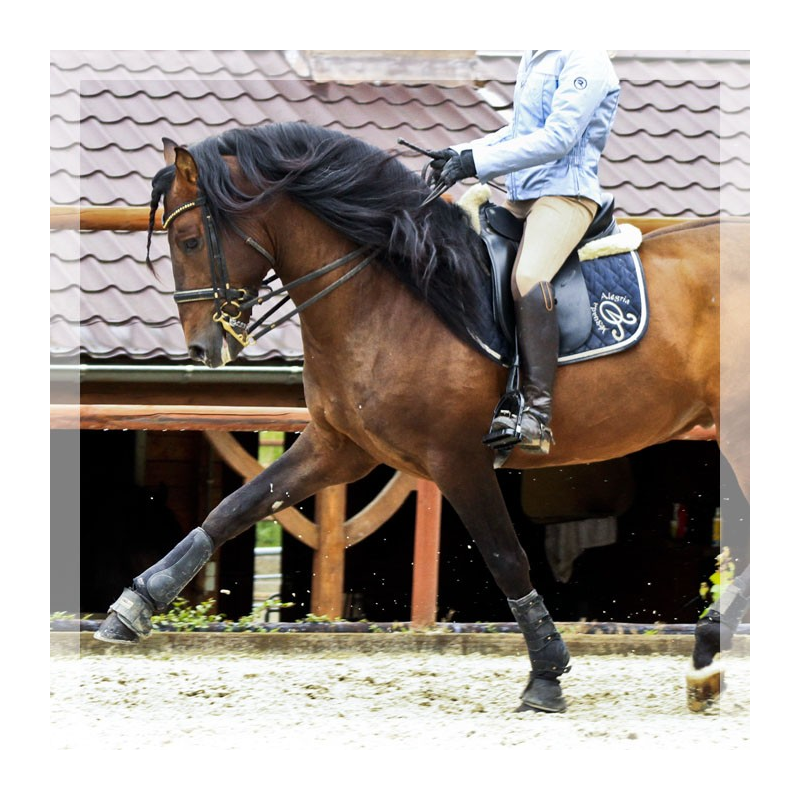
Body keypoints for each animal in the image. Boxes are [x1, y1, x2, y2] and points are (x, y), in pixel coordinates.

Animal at [94, 121, 750, 714]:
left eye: (189, 241)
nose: (203, 348)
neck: (392, 293)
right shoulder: (339, 446)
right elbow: (234, 508)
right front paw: (134, 606)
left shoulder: (456, 459)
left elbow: (506, 558)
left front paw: (546, 673)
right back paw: (706, 666)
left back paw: (705, 660)